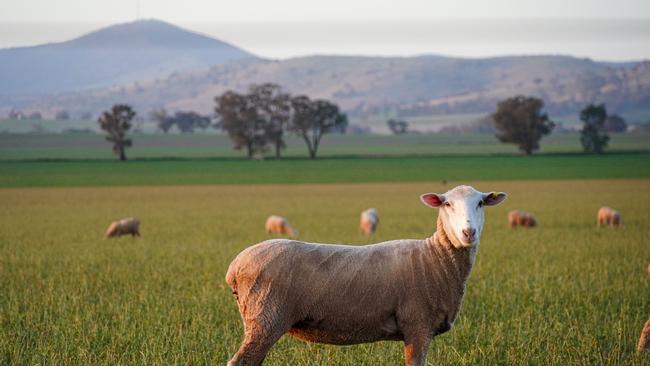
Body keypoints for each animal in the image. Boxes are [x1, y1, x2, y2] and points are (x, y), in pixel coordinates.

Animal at [225, 186, 504, 366]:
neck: (434, 258)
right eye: (447, 204)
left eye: (480, 203)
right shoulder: (418, 325)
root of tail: (235, 266)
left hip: (261, 321)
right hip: (265, 318)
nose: (469, 233)